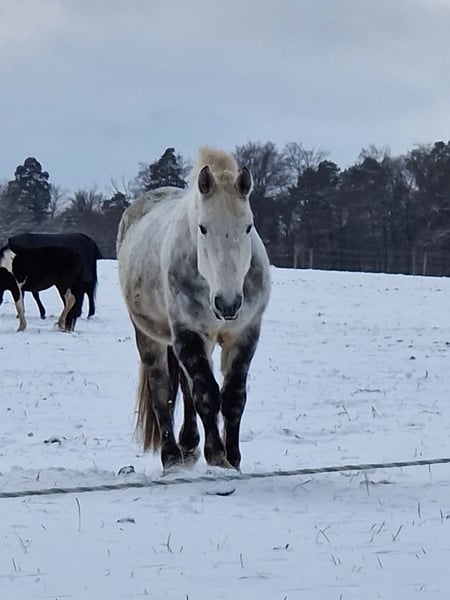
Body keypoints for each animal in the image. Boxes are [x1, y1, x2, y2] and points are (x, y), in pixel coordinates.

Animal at [117, 147, 271, 470]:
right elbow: (207, 395)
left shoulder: (244, 333)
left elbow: (233, 397)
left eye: (248, 227)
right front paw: (217, 456)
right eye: (203, 228)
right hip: (149, 336)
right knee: (162, 390)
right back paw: (172, 457)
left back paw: (188, 445)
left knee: (187, 390)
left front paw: (233, 459)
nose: (228, 304)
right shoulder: (187, 332)